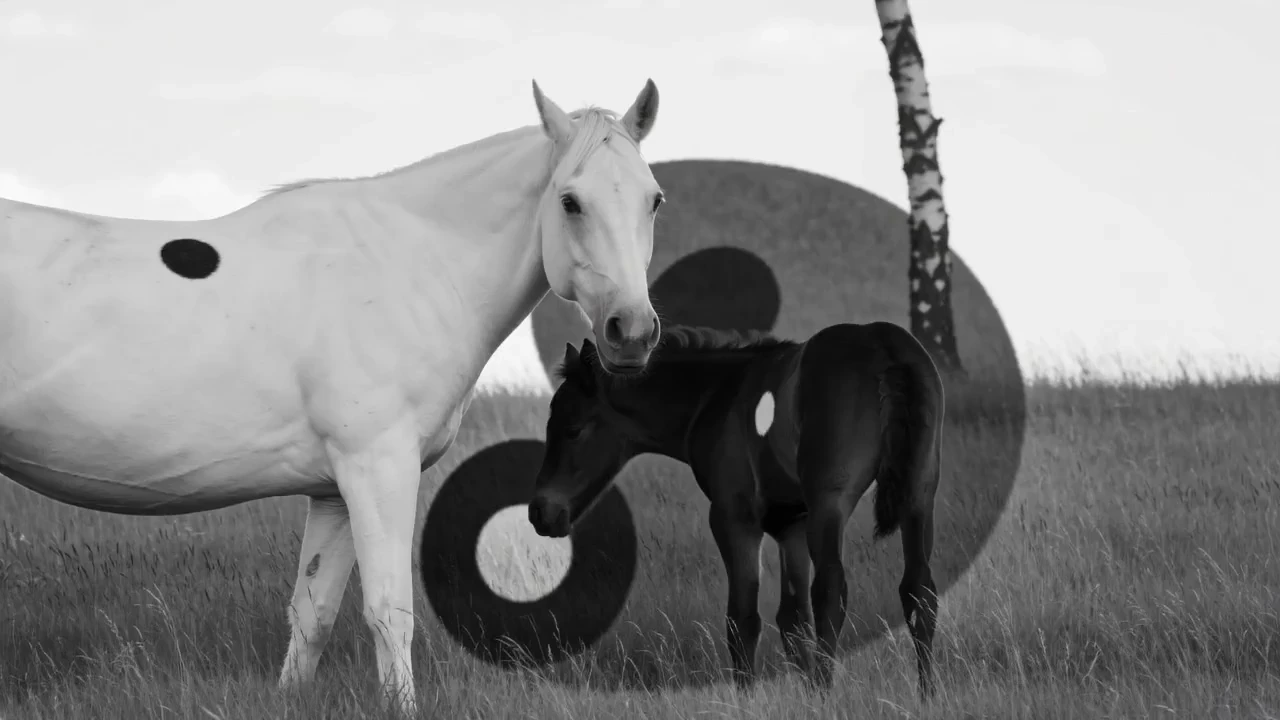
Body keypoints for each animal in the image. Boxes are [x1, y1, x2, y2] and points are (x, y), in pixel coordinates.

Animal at [0, 78, 665, 715]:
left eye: (653, 198)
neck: (411, 265)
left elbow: (312, 614)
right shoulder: (379, 468)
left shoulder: (333, 491)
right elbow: (390, 611)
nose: (631, 332)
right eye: (570, 200)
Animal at [528, 323, 945, 697]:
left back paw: (831, 691)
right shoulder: (791, 525)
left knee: (830, 592)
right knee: (918, 591)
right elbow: (793, 620)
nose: (540, 513)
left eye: (574, 429)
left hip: (831, 504)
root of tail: (885, 348)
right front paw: (807, 699)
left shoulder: (734, 519)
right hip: (918, 496)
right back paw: (926, 695)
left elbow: (742, 620)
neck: (716, 397)